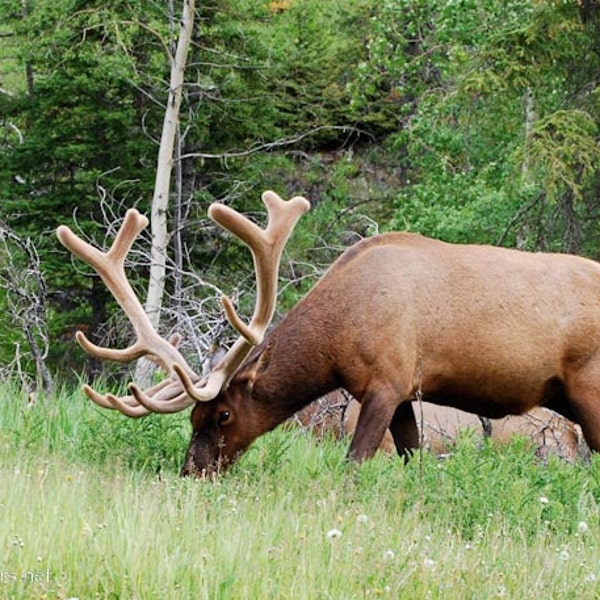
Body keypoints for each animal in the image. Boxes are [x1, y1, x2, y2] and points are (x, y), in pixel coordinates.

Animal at [57, 190, 600, 476]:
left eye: (224, 413)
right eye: (192, 416)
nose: (193, 470)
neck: (336, 339)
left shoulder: (385, 382)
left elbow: (353, 466)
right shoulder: (405, 394)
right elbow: (413, 461)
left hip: (588, 388)